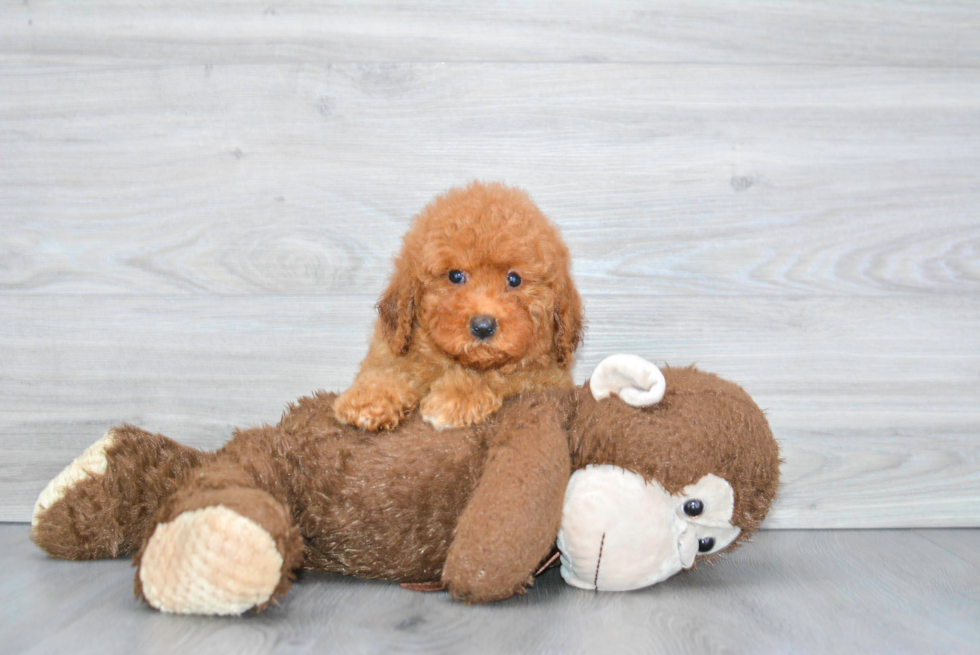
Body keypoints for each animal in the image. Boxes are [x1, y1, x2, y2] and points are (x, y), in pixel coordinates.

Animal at [336, 182, 580, 434]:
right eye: (455, 275)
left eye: (514, 279)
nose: (483, 326)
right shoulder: (392, 347)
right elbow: (388, 368)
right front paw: (369, 398)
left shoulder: (546, 379)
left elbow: (500, 377)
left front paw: (455, 398)